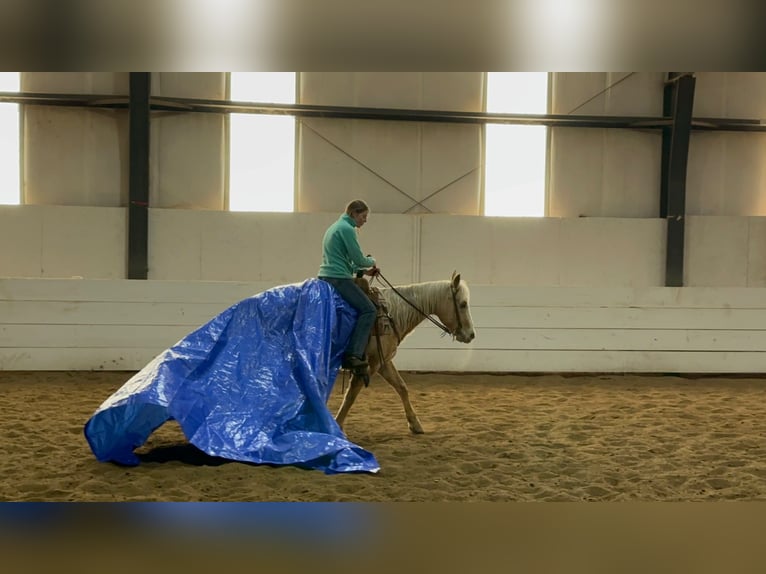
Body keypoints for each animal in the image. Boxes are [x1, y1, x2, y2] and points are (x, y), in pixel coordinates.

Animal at [334, 272, 474, 434]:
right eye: (463, 304)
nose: (471, 335)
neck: (391, 315)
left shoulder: (383, 361)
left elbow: (401, 387)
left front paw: (415, 424)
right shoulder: (371, 363)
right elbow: (351, 393)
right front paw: (336, 425)